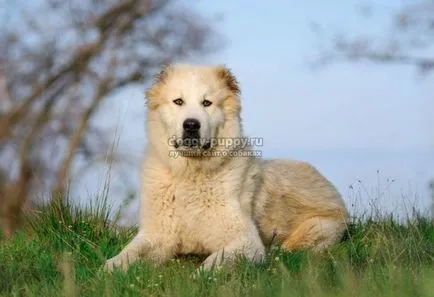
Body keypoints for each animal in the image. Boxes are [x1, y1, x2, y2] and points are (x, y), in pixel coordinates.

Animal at [104, 64, 350, 270]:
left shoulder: (246, 241)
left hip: (312, 232)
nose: (191, 125)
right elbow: (127, 254)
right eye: (178, 102)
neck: (191, 174)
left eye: (207, 103)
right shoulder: (156, 235)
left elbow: (213, 262)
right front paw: (109, 270)